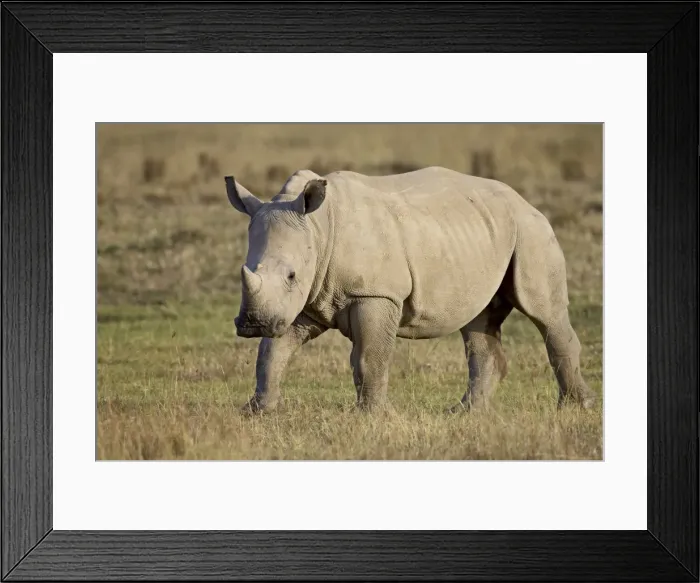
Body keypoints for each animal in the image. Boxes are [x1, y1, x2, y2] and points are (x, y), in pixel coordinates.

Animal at [225, 166, 596, 414]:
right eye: (247, 268)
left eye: (291, 275)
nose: (253, 323)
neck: (317, 229)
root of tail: (523, 199)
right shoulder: (303, 298)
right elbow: (272, 352)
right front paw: (256, 412)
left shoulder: (375, 293)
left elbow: (368, 356)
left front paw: (371, 417)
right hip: (484, 234)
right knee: (479, 321)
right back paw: (465, 414)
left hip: (531, 231)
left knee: (546, 314)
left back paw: (576, 409)